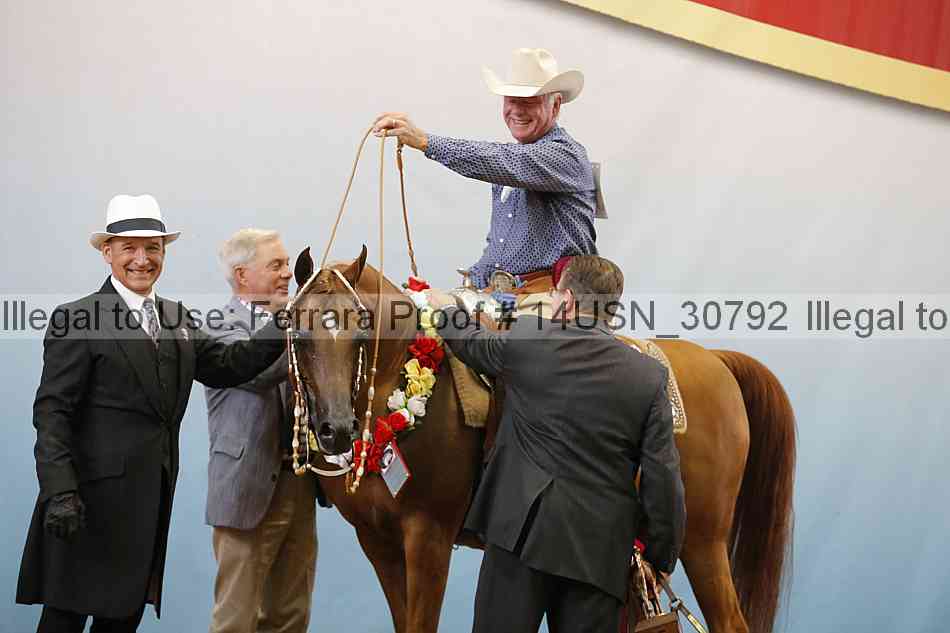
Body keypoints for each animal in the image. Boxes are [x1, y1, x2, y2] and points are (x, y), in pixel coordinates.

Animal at [288, 246, 795, 633]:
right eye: (297, 330)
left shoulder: (427, 534)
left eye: (360, 324)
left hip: (704, 541)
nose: (335, 429)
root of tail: (717, 360)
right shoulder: (377, 539)